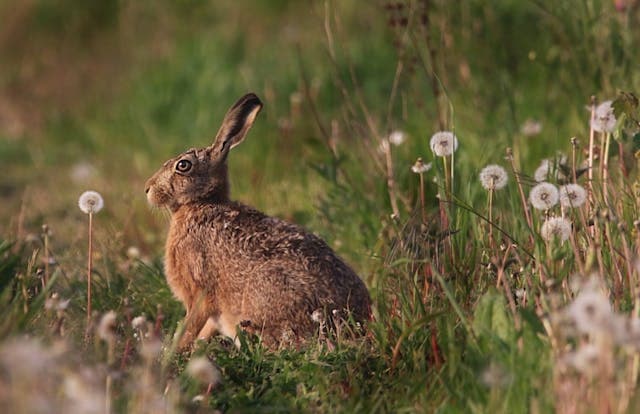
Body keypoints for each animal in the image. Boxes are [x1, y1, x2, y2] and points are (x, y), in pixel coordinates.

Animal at [145, 93, 371, 349]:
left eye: (183, 165)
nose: (148, 189)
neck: (201, 202)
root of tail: (354, 322)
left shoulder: (199, 292)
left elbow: (190, 326)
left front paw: (173, 351)